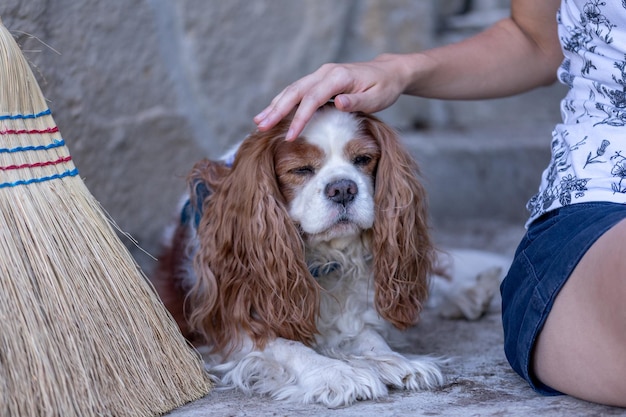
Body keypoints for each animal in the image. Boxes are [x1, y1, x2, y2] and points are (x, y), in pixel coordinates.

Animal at [152, 104, 508, 406]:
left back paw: (473, 294)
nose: (343, 188)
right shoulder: (228, 324)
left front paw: (397, 361)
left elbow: (367, 335)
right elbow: (288, 347)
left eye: (363, 159)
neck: (322, 261)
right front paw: (335, 374)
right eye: (300, 170)